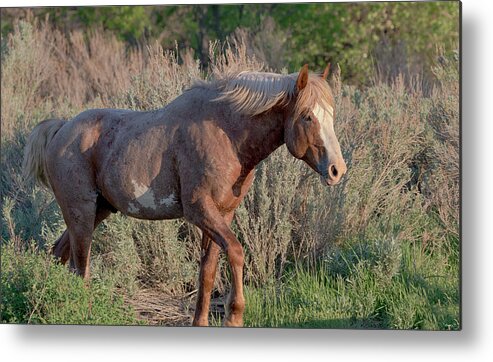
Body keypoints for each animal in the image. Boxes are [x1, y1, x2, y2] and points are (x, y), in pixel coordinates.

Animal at [24, 63, 346, 326]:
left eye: (331, 114)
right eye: (307, 116)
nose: (337, 169)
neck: (226, 134)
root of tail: (62, 128)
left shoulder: (221, 214)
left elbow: (208, 271)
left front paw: (201, 321)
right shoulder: (199, 210)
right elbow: (237, 251)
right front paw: (235, 316)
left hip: (96, 212)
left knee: (59, 255)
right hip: (81, 212)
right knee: (81, 267)